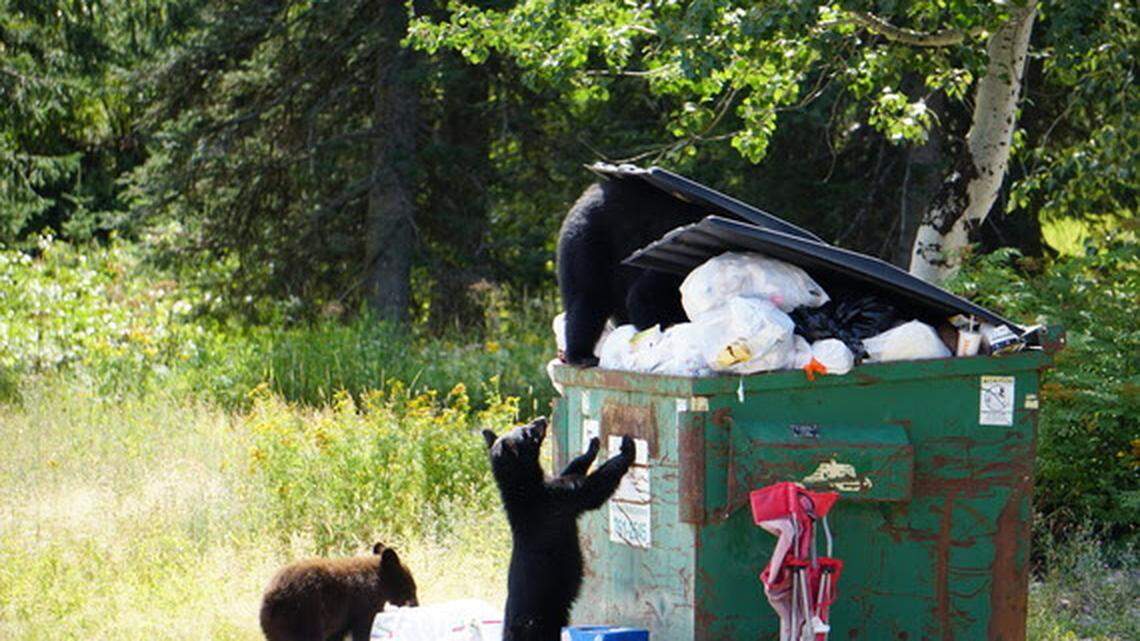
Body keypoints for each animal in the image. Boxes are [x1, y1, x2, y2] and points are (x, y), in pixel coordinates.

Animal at [259, 542, 418, 641]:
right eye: (411, 589)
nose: (416, 605)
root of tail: (270, 599)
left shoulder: (340, 622)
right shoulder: (363, 607)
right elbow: (363, 630)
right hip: (302, 618)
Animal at [482, 416, 635, 641]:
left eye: (525, 426)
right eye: (527, 432)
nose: (542, 419)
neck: (524, 488)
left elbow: (572, 469)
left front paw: (592, 446)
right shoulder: (555, 500)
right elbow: (591, 489)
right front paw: (626, 450)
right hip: (542, 619)